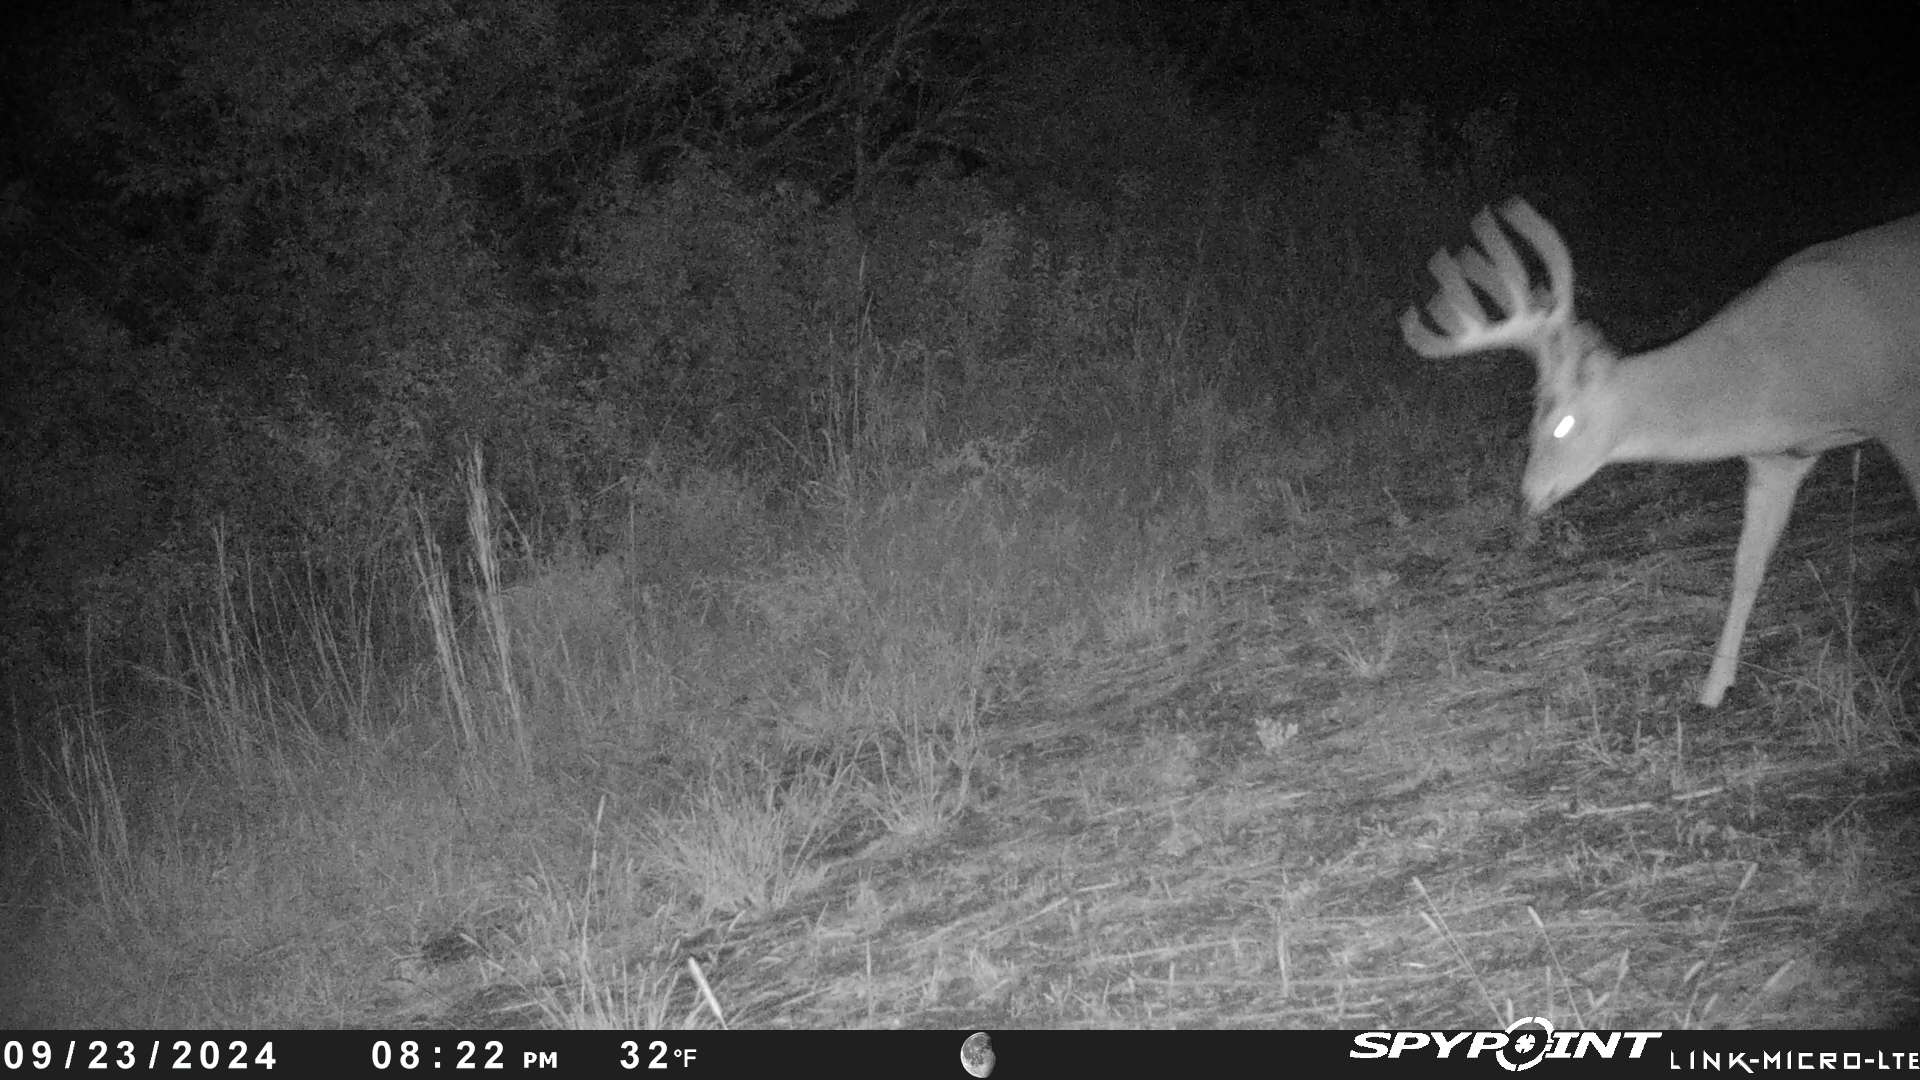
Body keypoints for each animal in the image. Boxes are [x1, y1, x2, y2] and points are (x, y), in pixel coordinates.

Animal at [1402, 198, 1920, 706]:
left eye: (1563, 424)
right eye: (1530, 423)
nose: (1526, 496)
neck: (1780, 378)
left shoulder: (1899, 411)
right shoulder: (1777, 457)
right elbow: (1747, 566)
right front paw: (1713, 688)